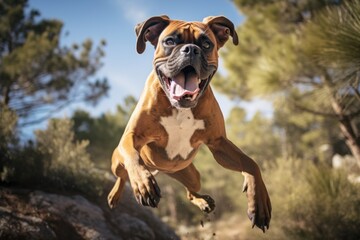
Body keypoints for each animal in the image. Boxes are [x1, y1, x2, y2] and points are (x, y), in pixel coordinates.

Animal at [108, 15, 272, 232]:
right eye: (169, 41)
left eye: (206, 44)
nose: (191, 49)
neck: (181, 107)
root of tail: (163, 170)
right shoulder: (132, 136)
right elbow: (132, 156)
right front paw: (143, 184)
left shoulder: (219, 144)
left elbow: (251, 163)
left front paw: (258, 204)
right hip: (116, 163)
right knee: (122, 175)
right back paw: (116, 194)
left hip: (192, 176)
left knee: (189, 192)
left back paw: (203, 202)